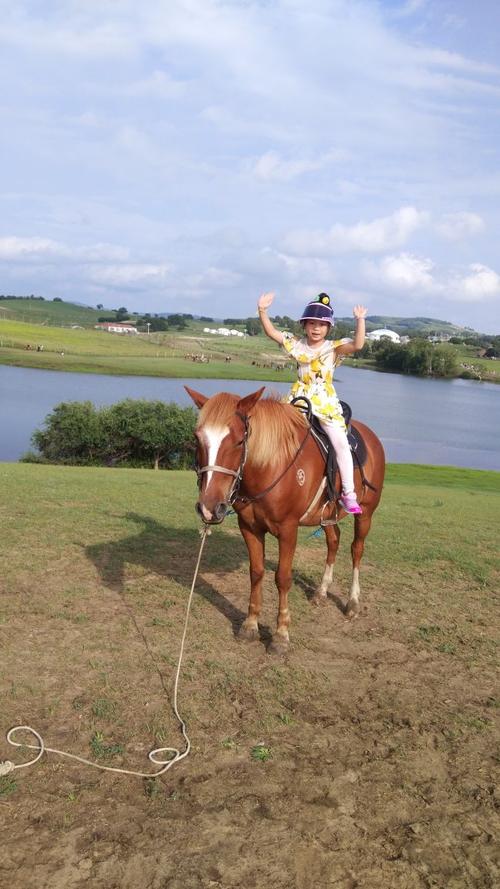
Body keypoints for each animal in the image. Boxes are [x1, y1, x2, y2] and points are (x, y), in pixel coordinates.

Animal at [185, 386, 385, 655]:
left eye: (239, 440)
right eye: (198, 438)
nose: (209, 508)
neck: (270, 464)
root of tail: (372, 437)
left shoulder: (288, 530)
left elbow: (282, 578)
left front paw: (281, 635)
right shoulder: (249, 528)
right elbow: (256, 572)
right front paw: (250, 625)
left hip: (366, 513)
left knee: (357, 549)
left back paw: (352, 602)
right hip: (327, 517)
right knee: (334, 541)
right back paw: (322, 591)